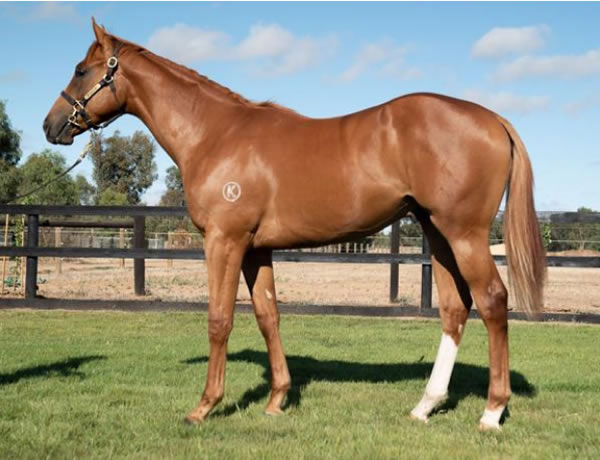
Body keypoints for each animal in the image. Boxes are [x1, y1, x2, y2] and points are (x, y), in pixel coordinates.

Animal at [44, 19, 548, 432]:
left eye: (82, 70)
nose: (52, 125)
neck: (215, 134)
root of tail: (492, 118)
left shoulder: (224, 242)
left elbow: (219, 319)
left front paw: (205, 406)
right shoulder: (256, 249)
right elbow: (269, 316)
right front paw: (276, 400)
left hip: (463, 234)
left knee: (492, 301)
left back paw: (491, 412)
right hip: (437, 234)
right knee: (455, 309)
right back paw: (425, 406)